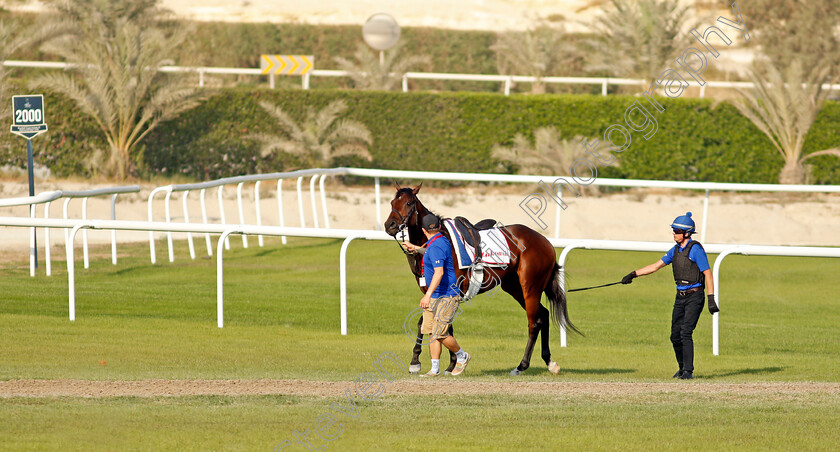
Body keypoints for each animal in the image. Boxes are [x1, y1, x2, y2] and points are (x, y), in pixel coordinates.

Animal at [384, 182, 580, 376]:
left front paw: (418, 362)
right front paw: (450, 363)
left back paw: (521, 366)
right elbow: (438, 325)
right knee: (543, 315)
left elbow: (432, 324)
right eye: (392, 202)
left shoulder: (451, 292)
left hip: (530, 288)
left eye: (409, 203)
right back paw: (549, 361)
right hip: (515, 288)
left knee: (534, 322)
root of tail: (545, 242)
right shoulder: (436, 293)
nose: (389, 225)